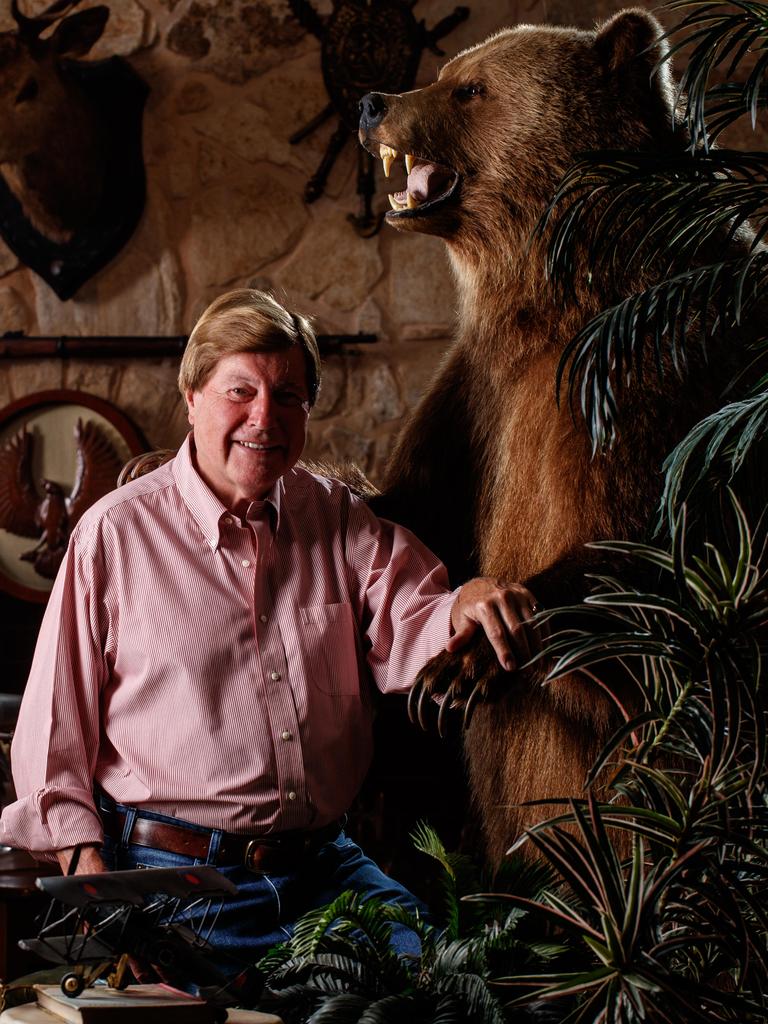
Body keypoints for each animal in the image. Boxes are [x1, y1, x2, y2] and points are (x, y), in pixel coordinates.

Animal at [358, 8, 761, 864]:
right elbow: (415, 509)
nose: (373, 102)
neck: (553, 287)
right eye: (450, 72)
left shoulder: (649, 371)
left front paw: (465, 656)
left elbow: (644, 552)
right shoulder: (477, 392)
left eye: (469, 87)